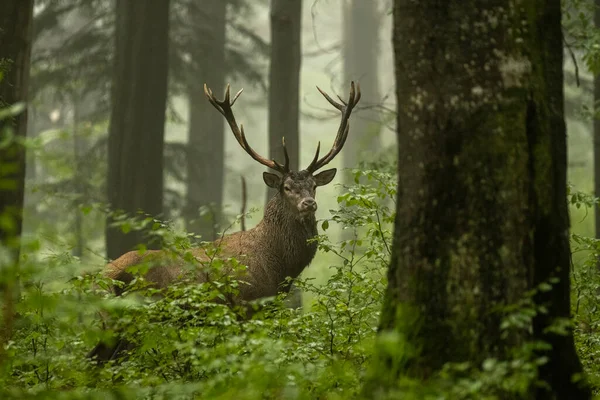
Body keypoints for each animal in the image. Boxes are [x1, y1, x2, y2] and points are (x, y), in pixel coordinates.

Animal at [88, 81, 360, 362]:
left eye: (314, 186)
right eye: (286, 187)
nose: (309, 203)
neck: (279, 265)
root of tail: (103, 277)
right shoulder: (247, 305)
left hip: (113, 325)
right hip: (134, 319)